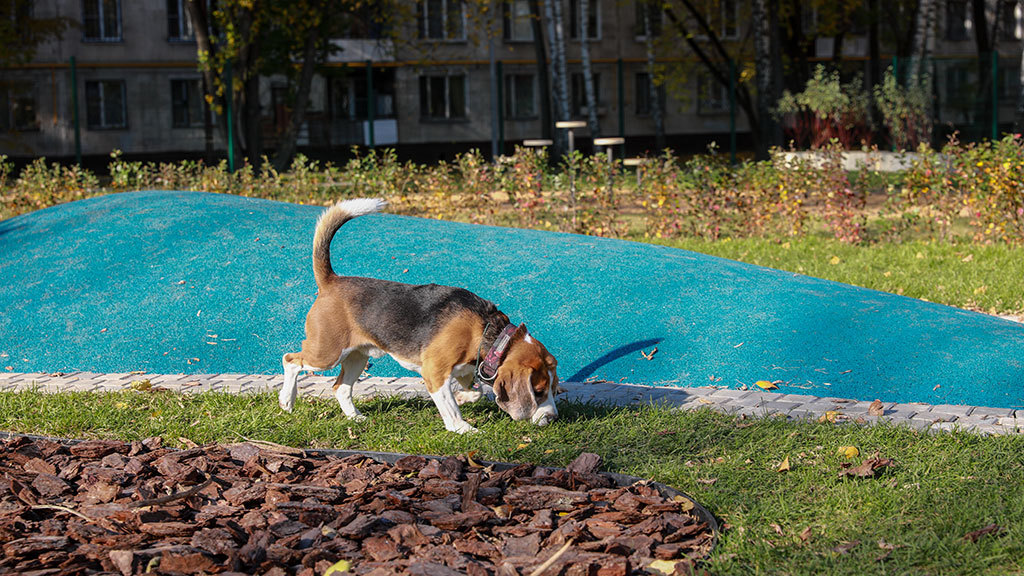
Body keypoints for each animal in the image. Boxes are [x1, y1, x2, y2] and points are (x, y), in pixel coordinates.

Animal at [278, 196, 561, 430]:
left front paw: (464, 397)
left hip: (357, 356)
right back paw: (287, 401)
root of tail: (331, 280)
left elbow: (476, 392)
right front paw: (463, 429)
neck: (489, 332)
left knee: (340, 388)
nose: (553, 418)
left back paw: (355, 417)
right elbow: (450, 407)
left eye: (554, 388)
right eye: (538, 391)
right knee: (290, 360)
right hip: (326, 353)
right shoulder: (435, 372)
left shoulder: (466, 370)